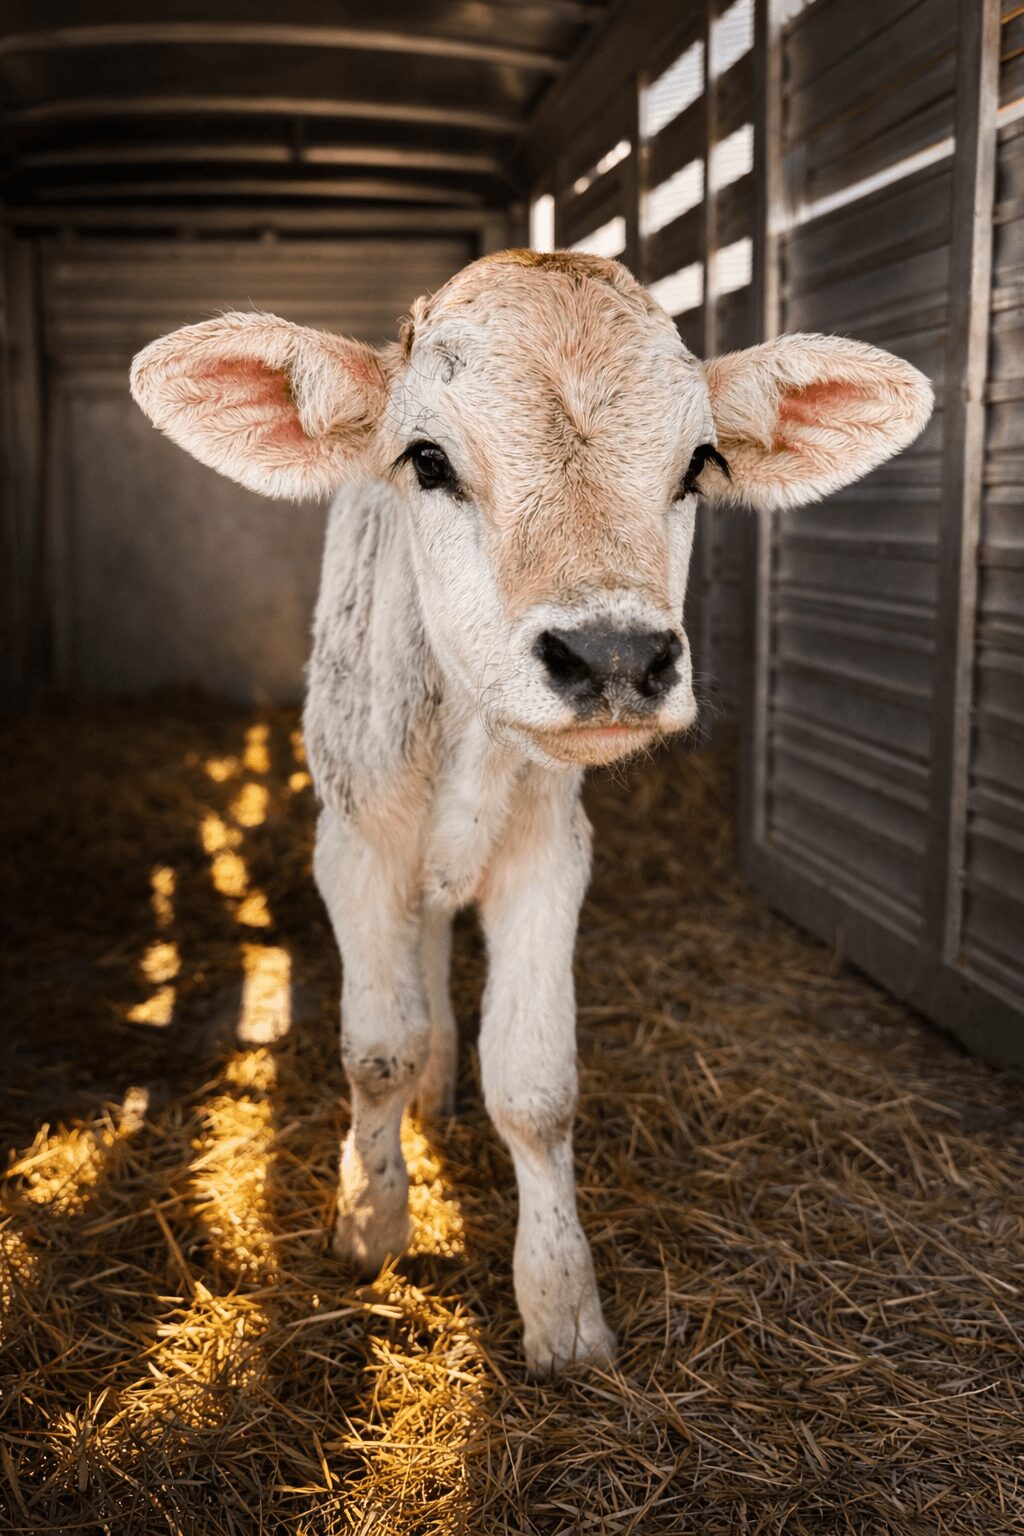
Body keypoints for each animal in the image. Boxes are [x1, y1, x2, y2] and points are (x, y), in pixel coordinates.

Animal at [130, 249, 932, 1373]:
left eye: (698, 465)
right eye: (426, 459)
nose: (616, 655)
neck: (464, 739)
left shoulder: (553, 855)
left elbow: (536, 1086)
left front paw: (563, 1311)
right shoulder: (355, 846)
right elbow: (376, 1049)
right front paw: (370, 1221)